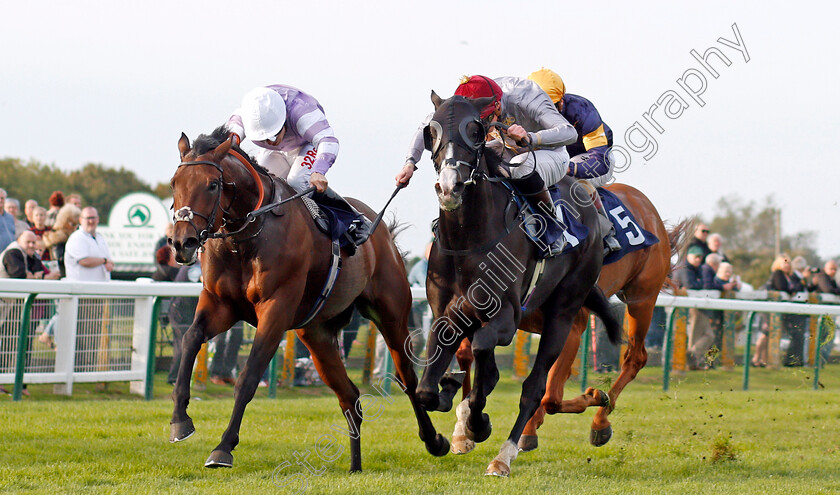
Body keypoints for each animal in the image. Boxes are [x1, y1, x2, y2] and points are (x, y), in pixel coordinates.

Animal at [167, 127, 450, 472]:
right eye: (174, 183)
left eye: (212, 184)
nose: (181, 242)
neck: (247, 235)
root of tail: (381, 228)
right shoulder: (220, 304)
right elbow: (190, 339)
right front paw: (180, 421)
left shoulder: (275, 309)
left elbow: (248, 376)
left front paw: (223, 447)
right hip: (316, 334)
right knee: (349, 395)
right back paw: (355, 466)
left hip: (392, 314)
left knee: (406, 377)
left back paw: (434, 441)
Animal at [416, 93, 624, 476]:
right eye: (430, 132)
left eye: (475, 131)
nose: (450, 187)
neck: (469, 240)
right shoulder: (445, 316)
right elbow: (427, 389)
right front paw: (451, 397)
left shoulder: (507, 318)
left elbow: (483, 354)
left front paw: (477, 423)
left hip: (563, 312)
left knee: (534, 387)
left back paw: (503, 456)